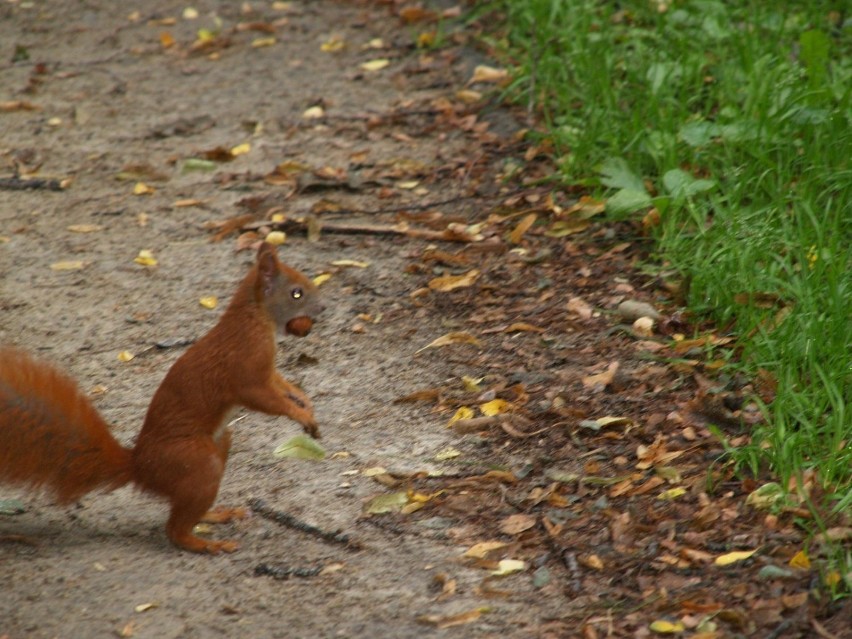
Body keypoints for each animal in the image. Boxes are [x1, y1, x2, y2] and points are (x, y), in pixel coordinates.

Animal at [0, 242, 320, 552]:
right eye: (297, 292)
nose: (323, 307)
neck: (255, 318)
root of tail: (141, 468)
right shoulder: (246, 368)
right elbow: (264, 398)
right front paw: (300, 414)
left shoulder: (267, 372)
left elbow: (282, 384)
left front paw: (305, 403)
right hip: (198, 464)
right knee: (175, 530)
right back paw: (208, 545)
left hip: (220, 443)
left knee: (186, 510)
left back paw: (215, 515)